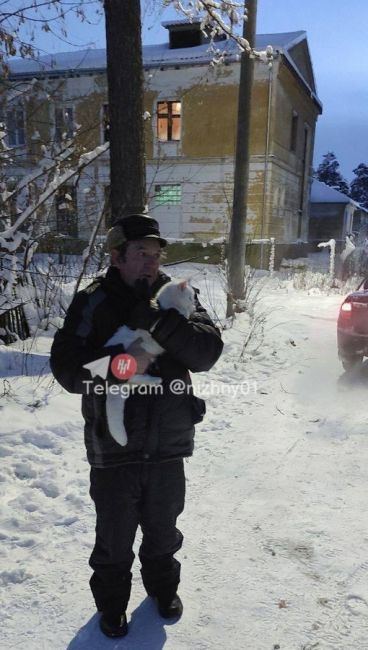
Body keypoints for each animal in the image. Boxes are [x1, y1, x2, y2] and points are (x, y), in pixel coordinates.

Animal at [103, 278, 196, 446]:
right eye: (191, 297)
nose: (195, 306)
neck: (166, 306)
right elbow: (182, 315)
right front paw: (187, 314)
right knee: (135, 378)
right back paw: (156, 380)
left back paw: (154, 381)